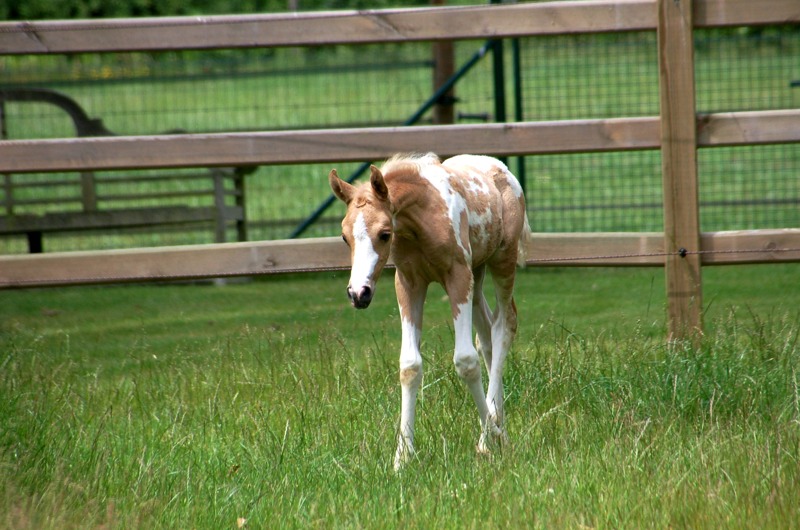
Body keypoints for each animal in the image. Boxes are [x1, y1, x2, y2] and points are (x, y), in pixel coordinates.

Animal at [328, 152, 528, 466]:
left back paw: (491, 434)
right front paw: (402, 457)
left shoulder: (458, 276)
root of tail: (501, 168)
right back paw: (500, 426)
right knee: (486, 336)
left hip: (502, 262)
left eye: (384, 234)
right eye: (344, 237)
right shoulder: (409, 283)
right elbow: (409, 365)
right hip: (478, 272)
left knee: (504, 325)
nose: (359, 293)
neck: (422, 218)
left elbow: (465, 361)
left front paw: (490, 437)